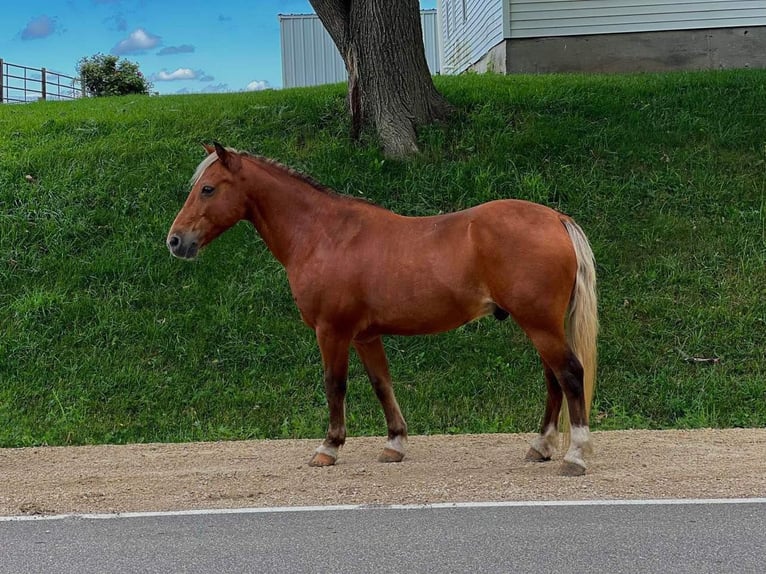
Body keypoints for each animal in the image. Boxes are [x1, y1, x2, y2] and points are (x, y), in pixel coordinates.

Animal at [168, 143, 600, 476]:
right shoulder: (365, 335)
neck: (323, 234)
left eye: (207, 189)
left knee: (569, 374)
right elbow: (382, 385)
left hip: (540, 324)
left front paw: (329, 447)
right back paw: (541, 446)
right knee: (553, 380)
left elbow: (335, 384)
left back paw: (575, 456)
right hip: (541, 325)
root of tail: (556, 218)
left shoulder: (332, 331)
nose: (175, 241)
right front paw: (395, 443)